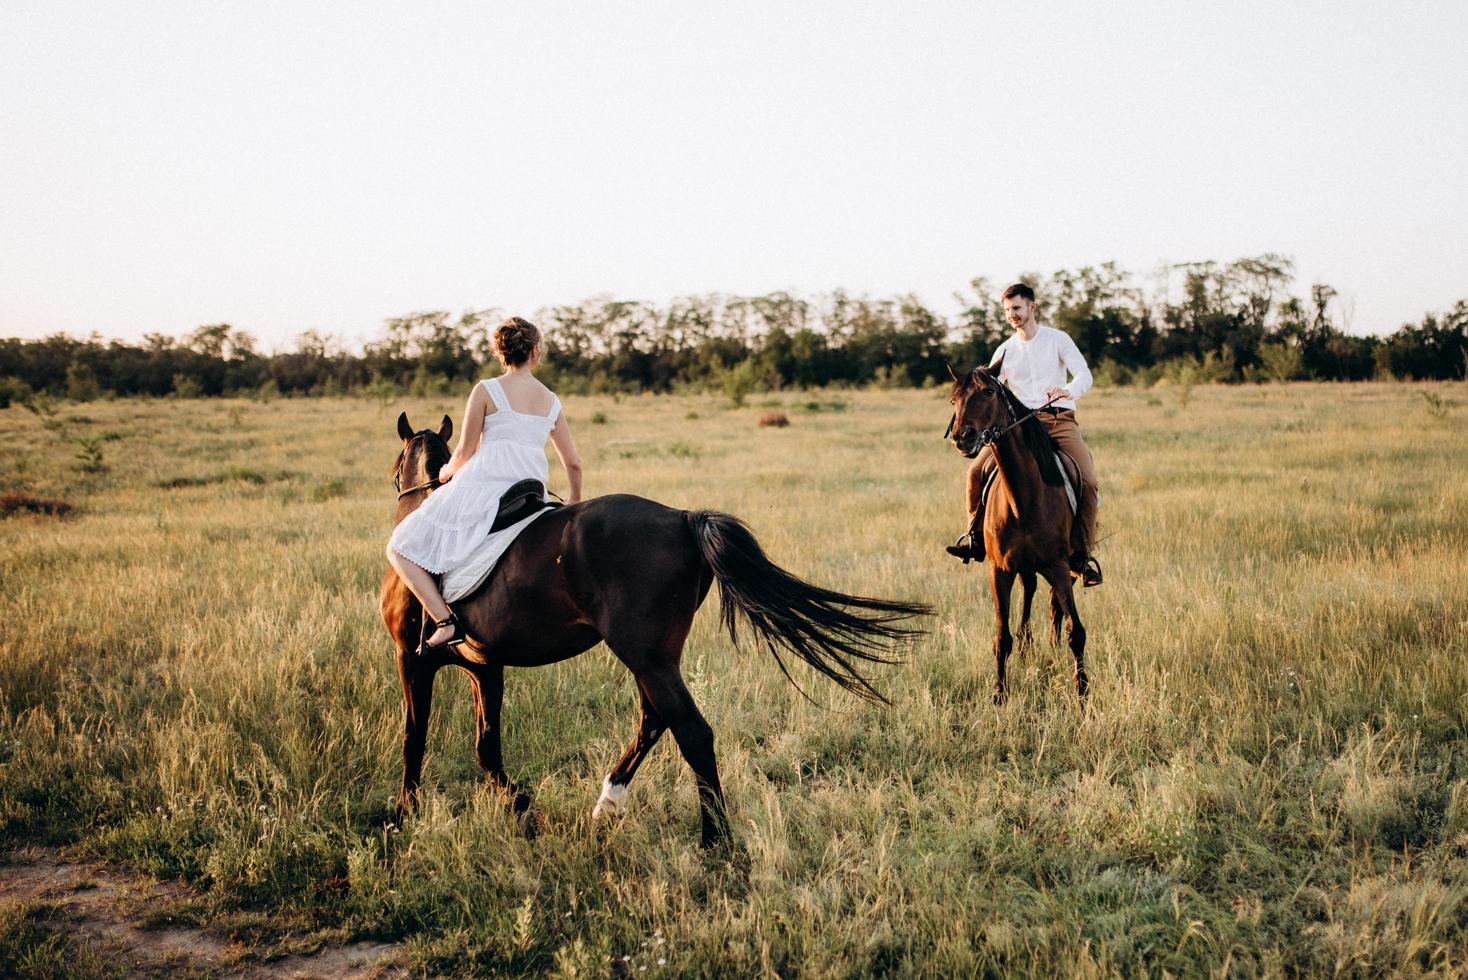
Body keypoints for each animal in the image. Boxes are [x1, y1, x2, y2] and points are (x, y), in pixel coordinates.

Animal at [378, 410, 927, 845]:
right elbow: (486, 746)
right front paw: (523, 809)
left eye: (391, 472)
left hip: (643, 654)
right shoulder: (486, 666)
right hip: (654, 655)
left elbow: (415, 736)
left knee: (690, 731)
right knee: (653, 719)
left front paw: (403, 815)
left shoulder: (414, 658)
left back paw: (714, 840)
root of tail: (683, 518)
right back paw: (609, 803)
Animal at [945, 363, 1086, 701]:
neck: (1025, 499)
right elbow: (1002, 637)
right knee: (1030, 592)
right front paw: (999, 694)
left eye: (989, 392)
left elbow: (1076, 632)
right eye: (953, 400)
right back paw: (1026, 646)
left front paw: (1083, 694)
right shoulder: (1000, 570)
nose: (963, 437)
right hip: (1024, 567)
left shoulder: (1059, 566)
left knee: (1052, 602)